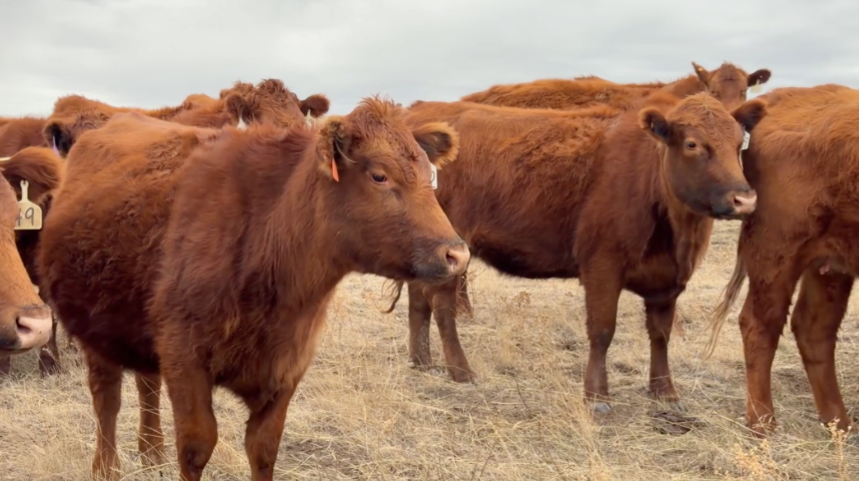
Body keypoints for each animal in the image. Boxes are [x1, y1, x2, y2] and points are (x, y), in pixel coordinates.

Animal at [37, 97, 468, 481]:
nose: (457, 253)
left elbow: (263, 449)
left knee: (146, 386)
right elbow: (195, 448)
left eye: (430, 176)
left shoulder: (287, 367)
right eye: (379, 175)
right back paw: (106, 469)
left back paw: (152, 456)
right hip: (96, 330)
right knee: (107, 401)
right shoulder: (184, 358)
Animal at [383, 91, 767, 417]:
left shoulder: (668, 280)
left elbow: (661, 334)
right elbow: (602, 331)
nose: (744, 198)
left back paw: (422, 361)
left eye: (739, 145)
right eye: (692, 144)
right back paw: (460, 370)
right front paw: (597, 395)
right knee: (443, 308)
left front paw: (664, 391)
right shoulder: (602, 268)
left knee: (419, 300)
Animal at [705, 84, 859, 437]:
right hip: (776, 252)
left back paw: (838, 424)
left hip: (829, 263)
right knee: (759, 323)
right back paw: (762, 421)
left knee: (814, 329)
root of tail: (780, 97)